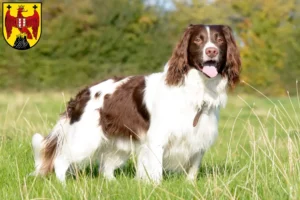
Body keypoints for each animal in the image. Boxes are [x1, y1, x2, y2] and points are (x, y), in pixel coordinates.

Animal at [31, 24, 241, 184]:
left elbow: (193, 168)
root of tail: (83, 93)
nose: (211, 51)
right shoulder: (157, 139)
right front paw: (156, 187)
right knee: (60, 160)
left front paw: (190, 185)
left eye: (219, 40)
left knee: (106, 168)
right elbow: (156, 171)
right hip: (84, 139)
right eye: (198, 40)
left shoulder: (199, 139)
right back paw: (63, 185)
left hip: (116, 143)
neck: (197, 89)